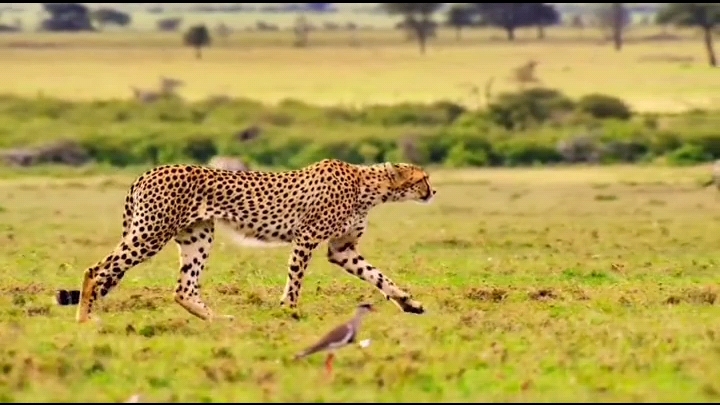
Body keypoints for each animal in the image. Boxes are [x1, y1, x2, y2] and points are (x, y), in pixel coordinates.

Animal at [56, 158, 436, 322]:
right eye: (423, 178)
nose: (434, 192)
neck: (368, 186)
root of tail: (150, 171)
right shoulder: (307, 237)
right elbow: (296, 278)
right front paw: (290, 311)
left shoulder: (342, 250)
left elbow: (379, 277)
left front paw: (409, 303)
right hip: (151, 233)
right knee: (97, 270)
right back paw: (85, 320)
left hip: (198, 235)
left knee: (184, 288)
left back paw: (219, 321)